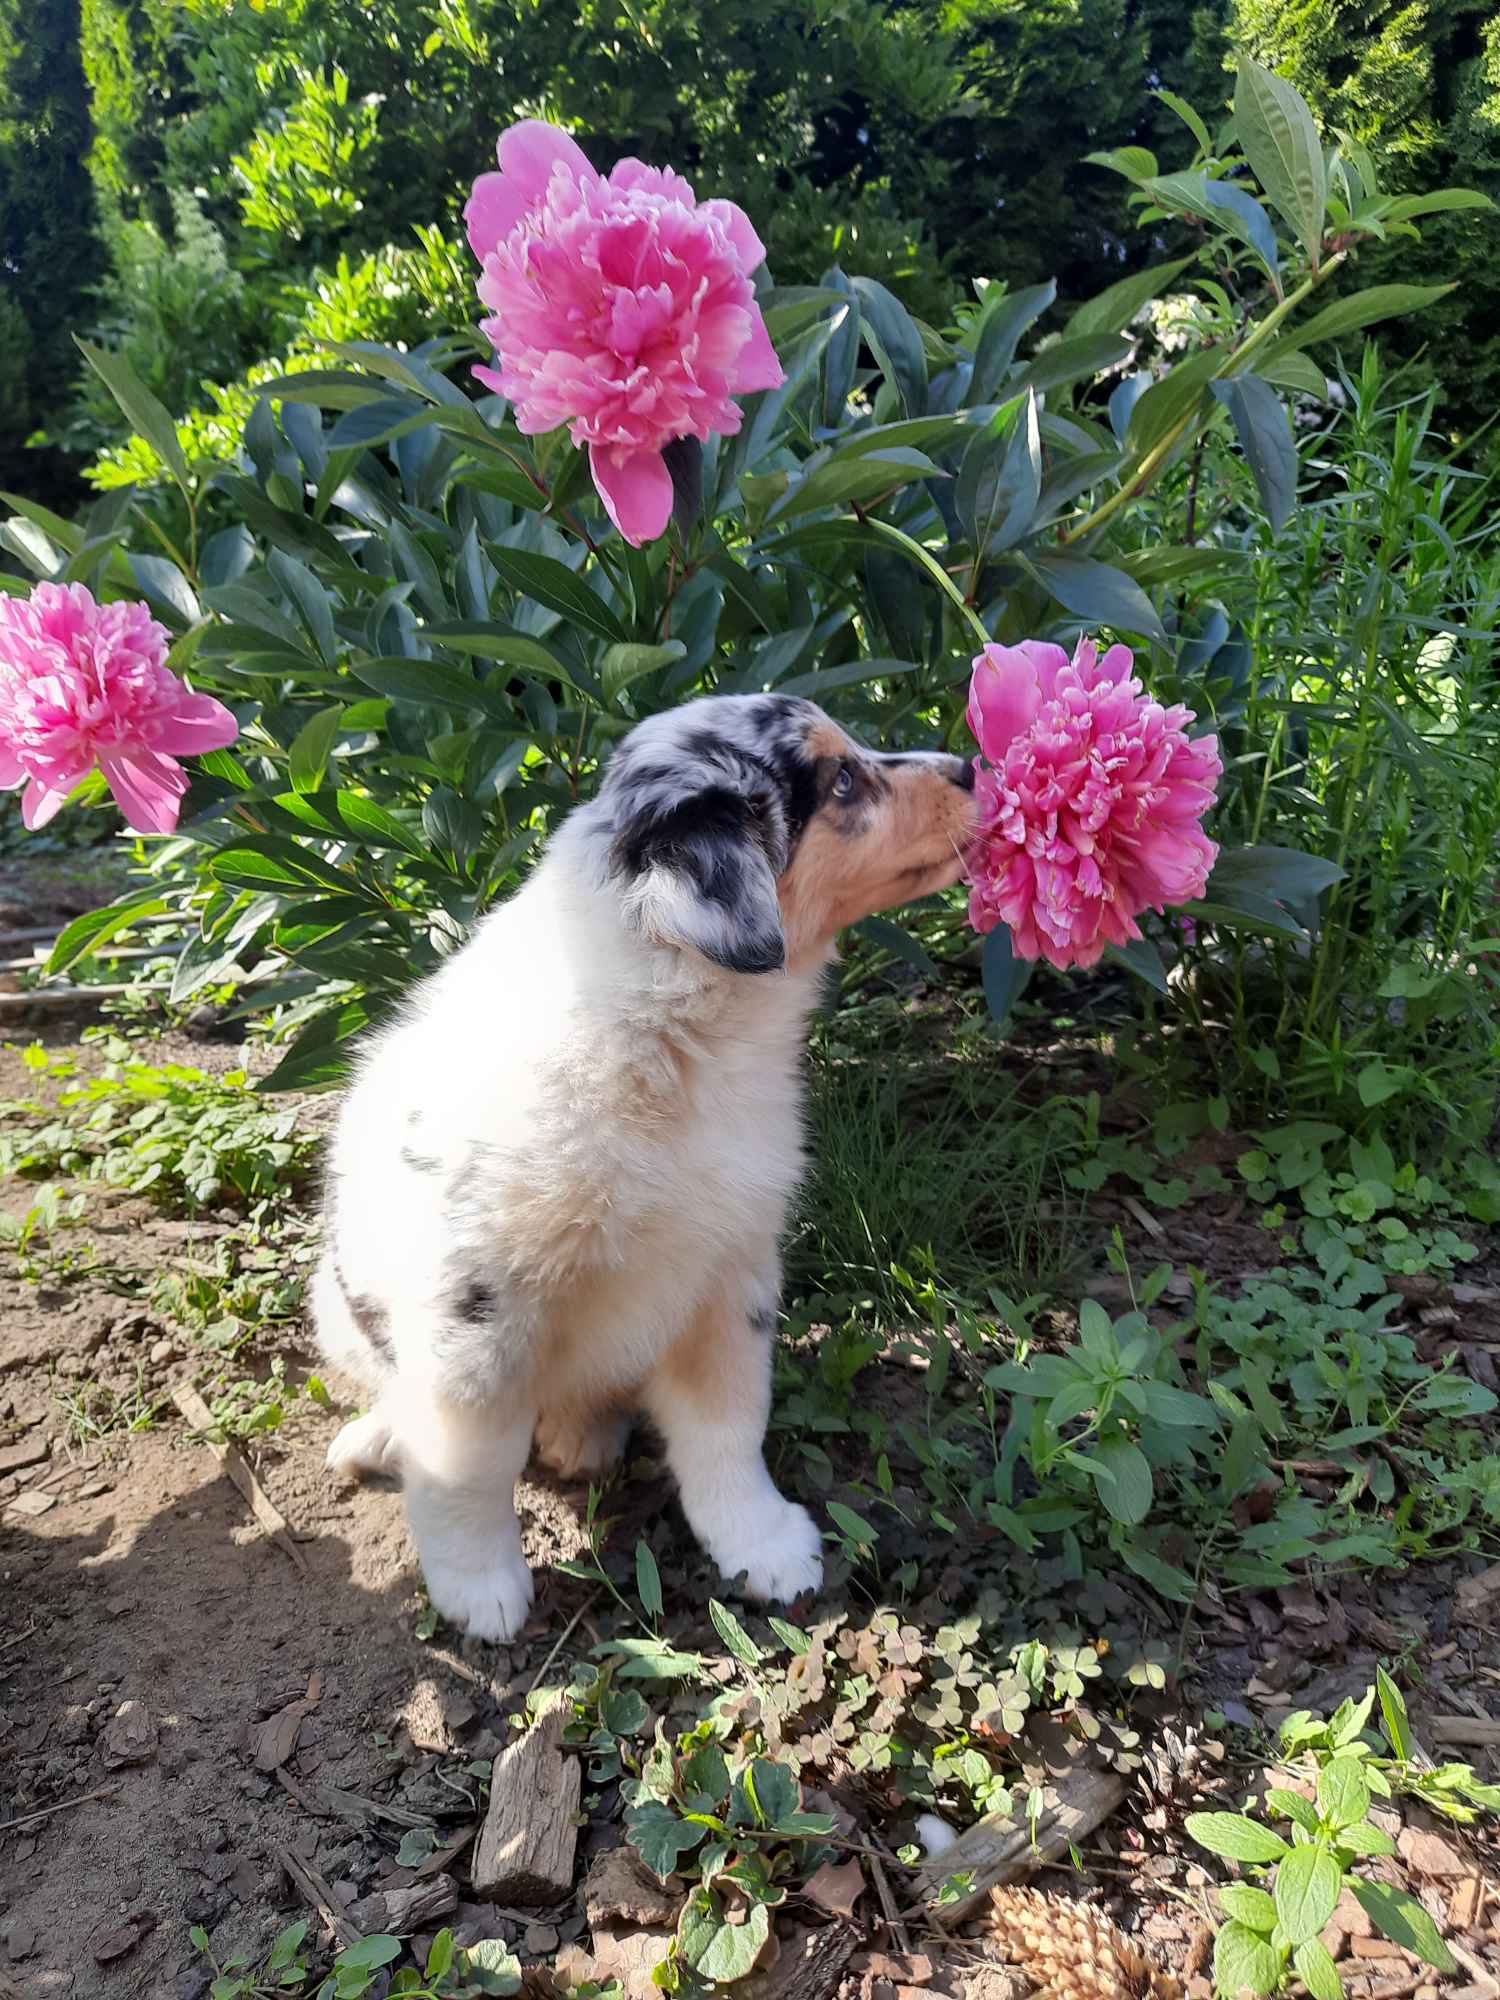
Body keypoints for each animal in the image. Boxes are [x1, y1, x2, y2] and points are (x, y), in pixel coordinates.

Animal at [314, 696, 976, 1632]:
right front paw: (480, 1592)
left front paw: (763, 1544)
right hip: (339, 1303)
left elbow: (727, 1422)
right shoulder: (473, 1312)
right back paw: (383, 1436)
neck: (676, 1046)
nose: (971, 768)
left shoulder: (730, 1272)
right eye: (843, 781)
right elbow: (467, 1467)